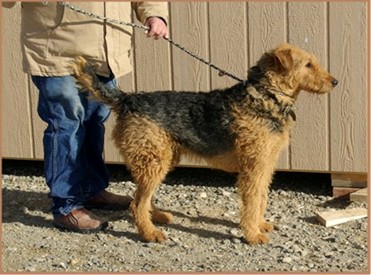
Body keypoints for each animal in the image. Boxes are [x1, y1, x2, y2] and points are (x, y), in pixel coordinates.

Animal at [72, 43, 338, 246]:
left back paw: (158, 217)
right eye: (307, 64)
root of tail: (127, 100)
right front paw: (253, 235)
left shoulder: (266, 164)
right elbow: (252, 201)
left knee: (141, 199)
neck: (265, 96)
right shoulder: (254, 167)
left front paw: (261, 224)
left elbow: (261, 198)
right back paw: (150, 234)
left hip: (159, 160)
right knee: (137, 203)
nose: (335, 82)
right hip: (153, 161)